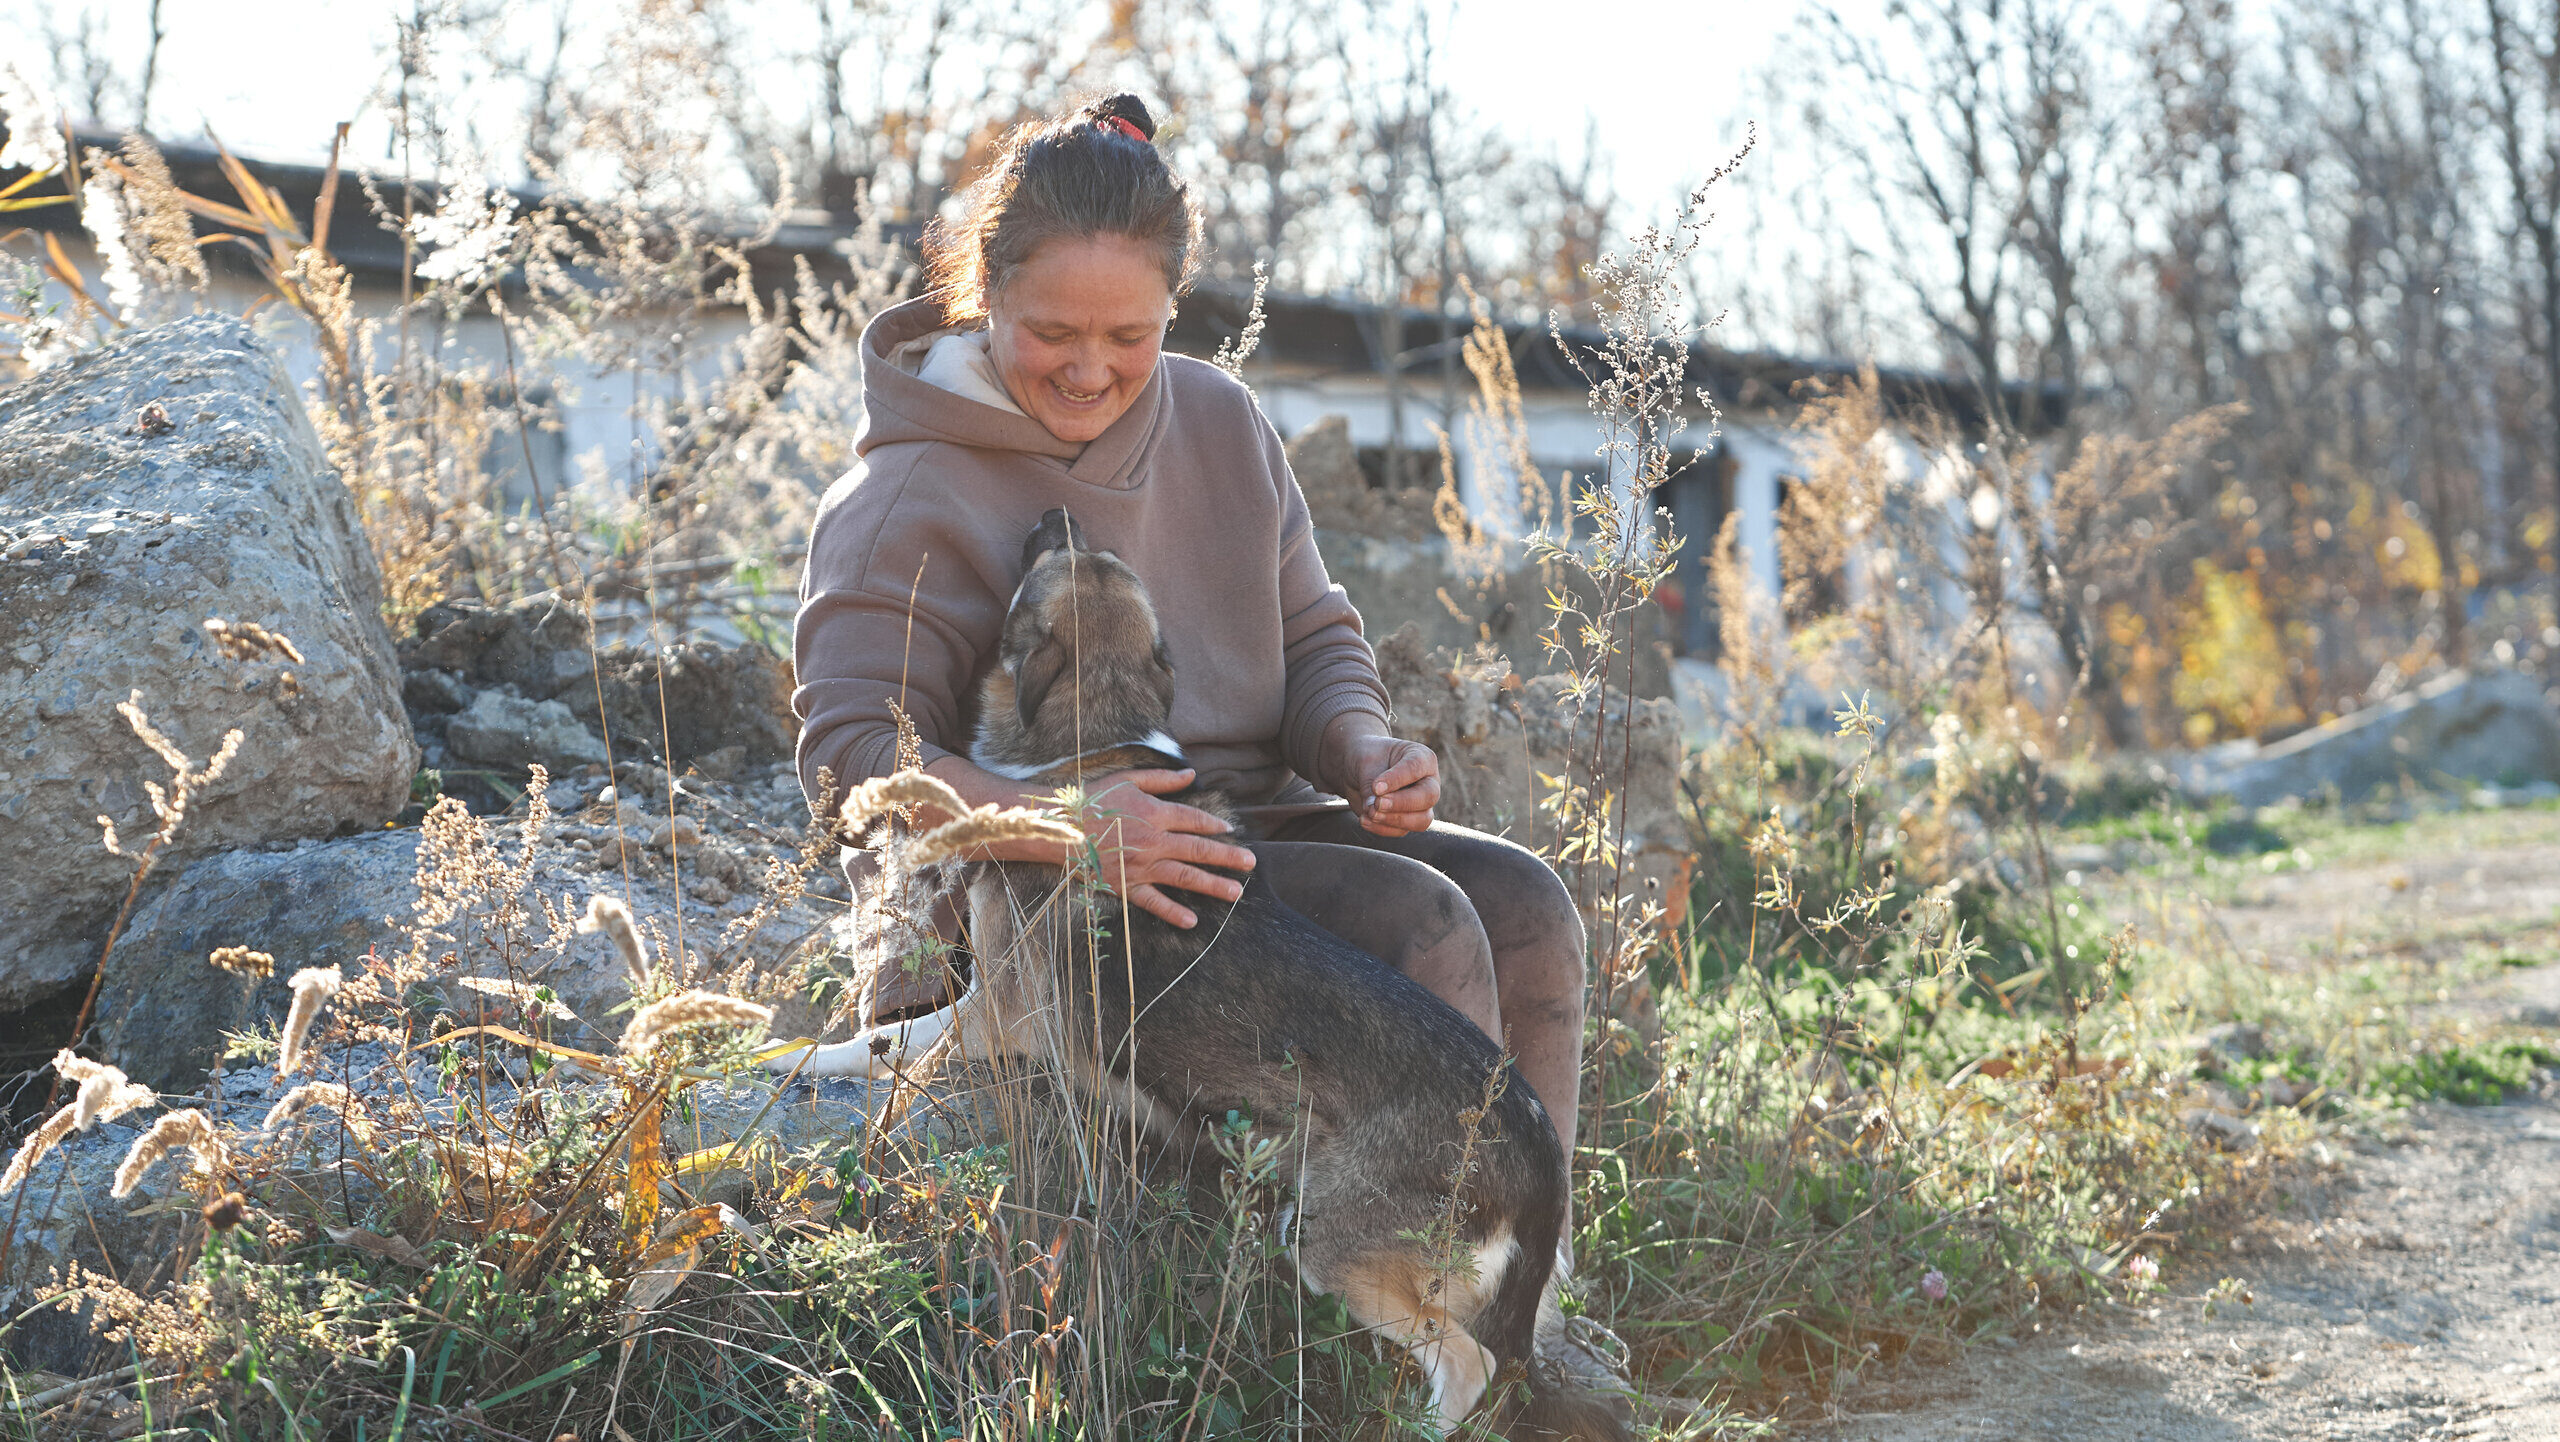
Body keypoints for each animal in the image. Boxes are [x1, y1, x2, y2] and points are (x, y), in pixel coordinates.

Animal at [768, 509, 1628, 1442]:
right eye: (1090, 553)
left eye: (1050, 559)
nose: (1057, 513)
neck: (1095, 738)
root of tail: (1541, 1154)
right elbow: (877, 1039)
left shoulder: (991, 1016)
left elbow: (889, 1051)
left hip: (1328, 1240)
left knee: (1469, 1366)